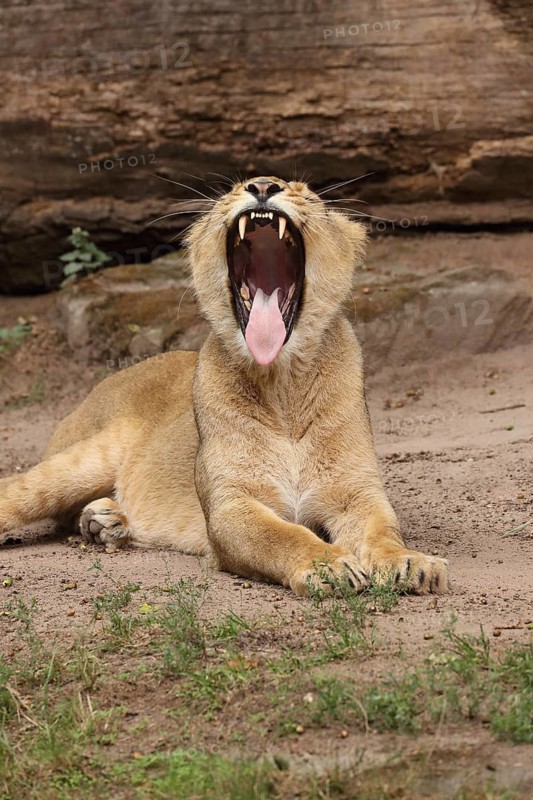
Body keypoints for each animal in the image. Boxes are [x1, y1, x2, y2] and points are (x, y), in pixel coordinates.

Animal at [0, 176, 448, 595]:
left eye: (305, 190)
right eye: (235, 187)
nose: (264, 185)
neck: (282, 384)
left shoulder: (357, 492)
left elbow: (382, 529)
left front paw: (408, 562)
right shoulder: (229, 506)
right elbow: (282, 535)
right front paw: (328, 565)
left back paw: (105, 522)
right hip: (83, 461)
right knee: (18, 491)